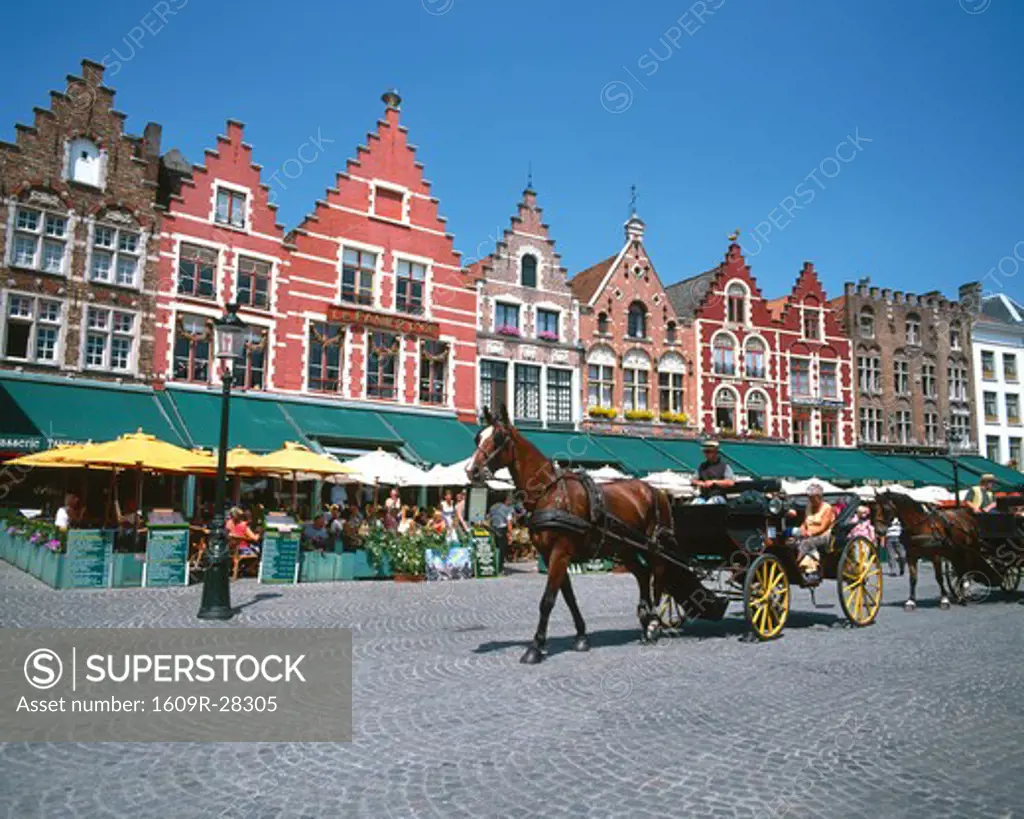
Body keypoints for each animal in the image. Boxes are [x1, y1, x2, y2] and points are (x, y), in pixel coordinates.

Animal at [468, 405, 716, 663]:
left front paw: (535, 647)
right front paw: (581, 636)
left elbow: (547, 600)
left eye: (498, 438)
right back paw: (645, 619)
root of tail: (656, 491)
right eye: (478, 437)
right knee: (643, 574)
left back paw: (653, 624)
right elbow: (568, 597)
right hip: (625, 548)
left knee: (658, 576)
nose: (472, 470)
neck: (549, 493)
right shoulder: (551, 555)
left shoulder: (560, 552)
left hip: (654, 546)